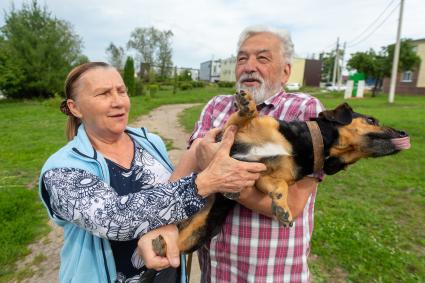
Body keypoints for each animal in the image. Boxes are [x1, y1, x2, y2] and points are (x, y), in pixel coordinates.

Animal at [152, 90, 408, 258]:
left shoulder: (265, 176)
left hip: (203, 228)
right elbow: (244, 115)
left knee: (176, 247)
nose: (404, 132)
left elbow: (279, 188)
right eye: (371, 120)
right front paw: (247, 103)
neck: (307, 144)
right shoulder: (228, 131)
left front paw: (282, 209)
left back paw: (162, 247)